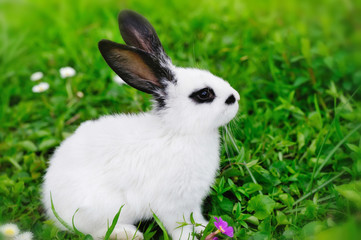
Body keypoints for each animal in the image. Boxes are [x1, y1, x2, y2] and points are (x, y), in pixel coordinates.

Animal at [42, 10, 239, 240]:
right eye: (204, 94)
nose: (236, 97)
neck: (179, 131)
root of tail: (49, 199)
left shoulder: (192, 202)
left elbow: (195, 217)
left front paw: (204, 228)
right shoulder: (170, 205)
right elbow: (178, 227)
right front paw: (190, 237)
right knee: (96, 231)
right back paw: (129, 234)